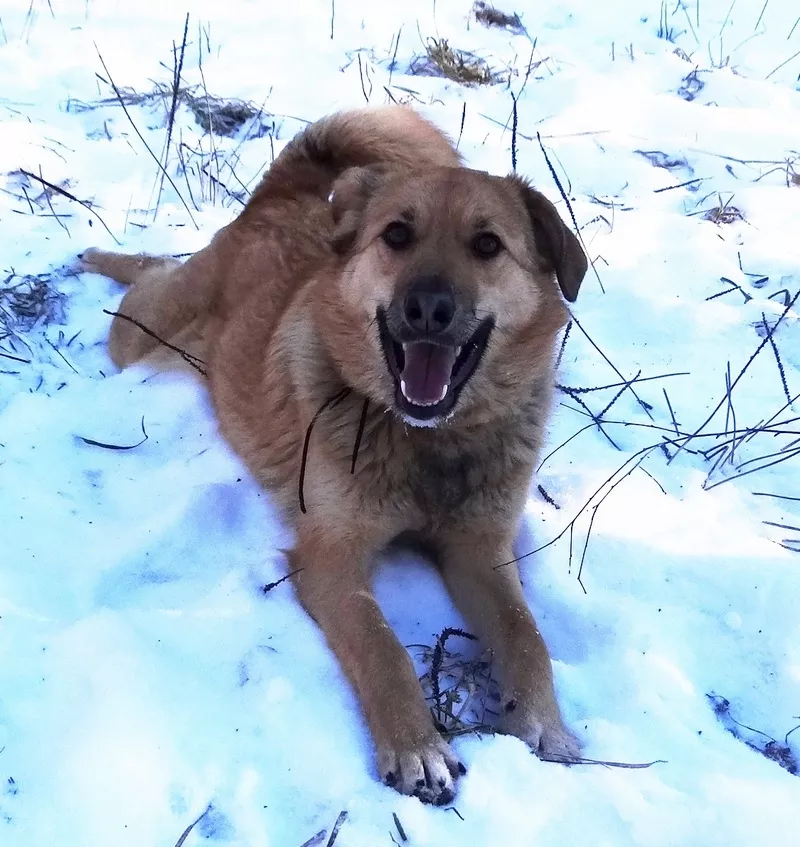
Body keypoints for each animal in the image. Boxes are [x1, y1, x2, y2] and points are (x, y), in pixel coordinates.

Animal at [81, 104, 588, 800]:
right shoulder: (331, 558)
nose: (427, 308)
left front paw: (543, 723)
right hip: (140, 337)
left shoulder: (481, 551)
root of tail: (276, 199)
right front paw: (417, 745)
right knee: (151, 277)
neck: (427, 439)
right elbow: (383, 648)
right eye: (397, 235)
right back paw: (103, 257)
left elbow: (525, 634)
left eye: (488, 245)